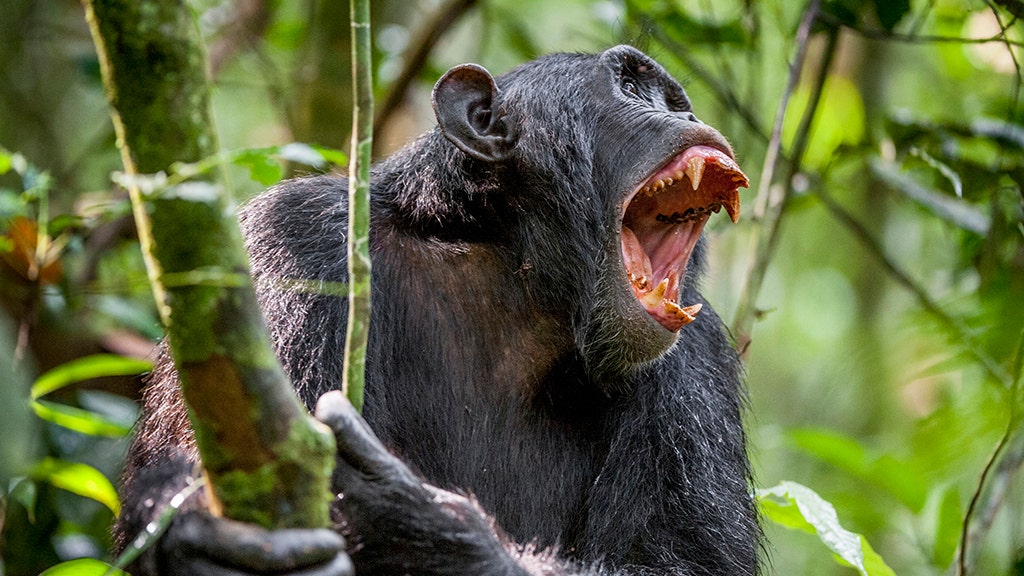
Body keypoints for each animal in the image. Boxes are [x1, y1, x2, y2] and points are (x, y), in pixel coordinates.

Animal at [116, 45, 765, 573]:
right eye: (631, 86)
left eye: (672, 99)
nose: (684, 115)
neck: (513, 274)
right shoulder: (288, 244)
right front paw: (191, 526)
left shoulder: (697, 358)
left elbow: (685, 561)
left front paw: (420, 523)